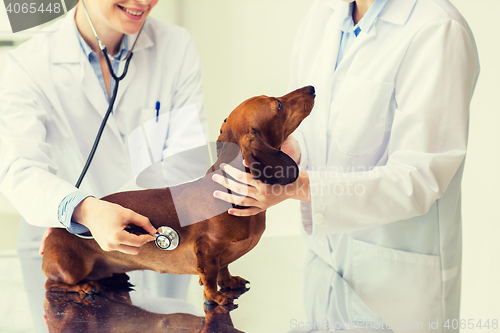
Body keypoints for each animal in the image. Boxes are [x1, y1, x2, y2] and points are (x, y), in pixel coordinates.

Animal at [44, 85, 316, 304]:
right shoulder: (207, 248)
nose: (312, 88)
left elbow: (225, 268)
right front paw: (216, 296)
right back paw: (85, 286)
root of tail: (54, 232)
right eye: (278, 104)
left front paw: (229, 282)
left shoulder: (222, 255)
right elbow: (210, 275)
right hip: (71, 269)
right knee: (52, 284)